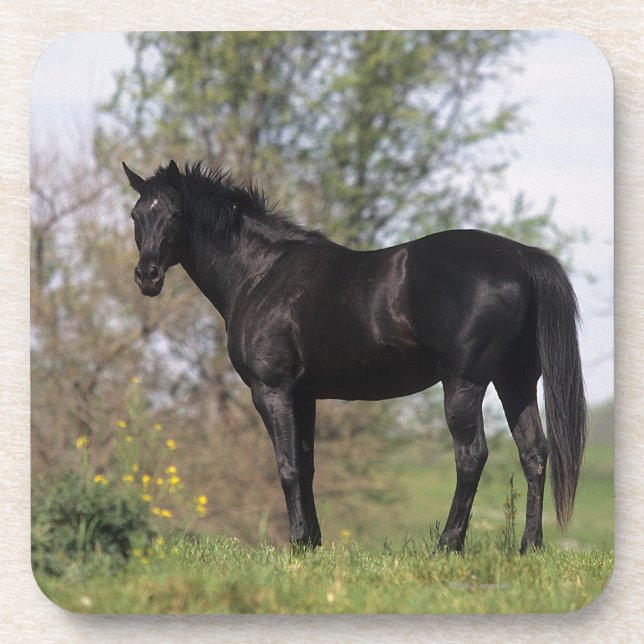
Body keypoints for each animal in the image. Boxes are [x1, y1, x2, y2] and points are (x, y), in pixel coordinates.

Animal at [122, 159, 586, 553]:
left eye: (175, 215)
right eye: (136, 215)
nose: (147, 276)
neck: (261, 273)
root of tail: (521, 257)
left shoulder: (271, 389)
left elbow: (287, 465)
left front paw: (296, 544)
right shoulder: (304, 394)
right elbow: (306, 466)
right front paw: (312, 543)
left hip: (464, 384)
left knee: (472, 457)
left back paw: (447, 546)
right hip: (516, 381)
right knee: (534, 454)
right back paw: (529, 547)